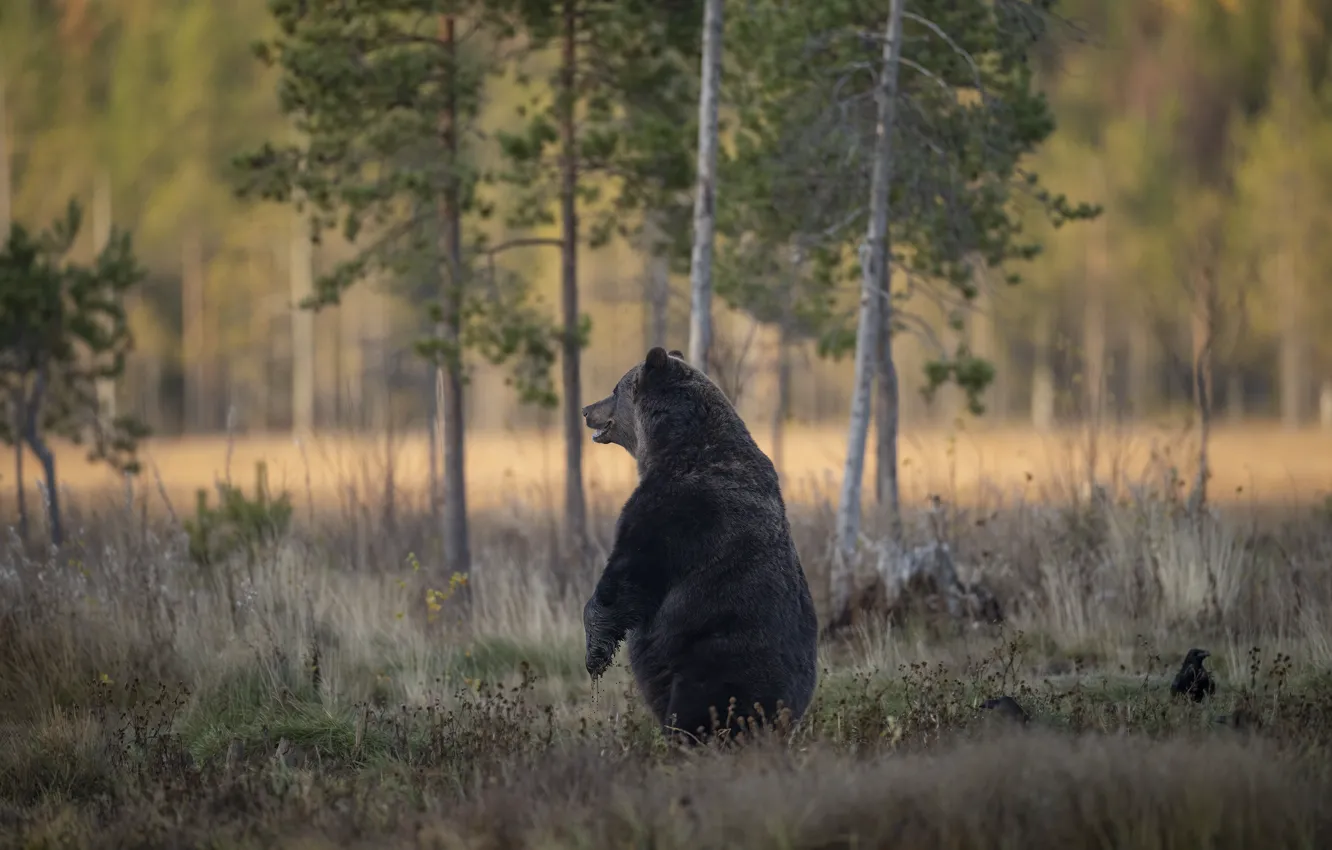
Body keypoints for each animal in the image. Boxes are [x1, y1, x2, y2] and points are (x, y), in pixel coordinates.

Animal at [579, 346, 820, 743]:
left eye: (614, 389)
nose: (586, 409)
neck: (671, 445)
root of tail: (781, 718)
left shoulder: (675, 511)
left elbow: (629, 573)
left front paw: (595, 654)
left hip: (712, 659)